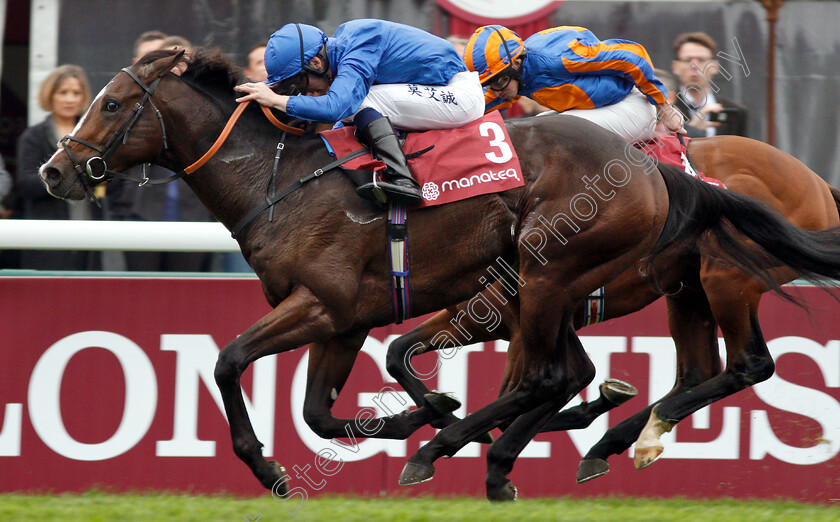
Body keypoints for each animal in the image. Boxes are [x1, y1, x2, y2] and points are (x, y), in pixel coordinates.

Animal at [386, 134, 840, 484]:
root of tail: (818, 184)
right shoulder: (475, 316)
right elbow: (397, 353)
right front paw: (428, 415)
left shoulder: (521, 319)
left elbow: (526, 390)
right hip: (687, 290)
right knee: (696, 372)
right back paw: (615, 442)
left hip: (727, 276)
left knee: (750, 363)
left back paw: (639, 432)